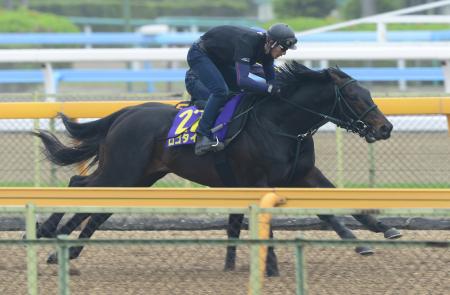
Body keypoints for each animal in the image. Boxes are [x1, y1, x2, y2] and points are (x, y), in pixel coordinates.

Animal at [35, 62, 400, 278]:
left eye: (368, 93)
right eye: (354, 97)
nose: (385, 128)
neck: (281, 123)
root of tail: (125, 113)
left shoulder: (302, 175)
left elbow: (337, 204)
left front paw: (379, 231)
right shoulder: (259, 180)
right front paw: (271, 265)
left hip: (140, 176)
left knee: (96, 207)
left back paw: (63, 248)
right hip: (123, 172)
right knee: (78, 183)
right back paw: (48, 230)